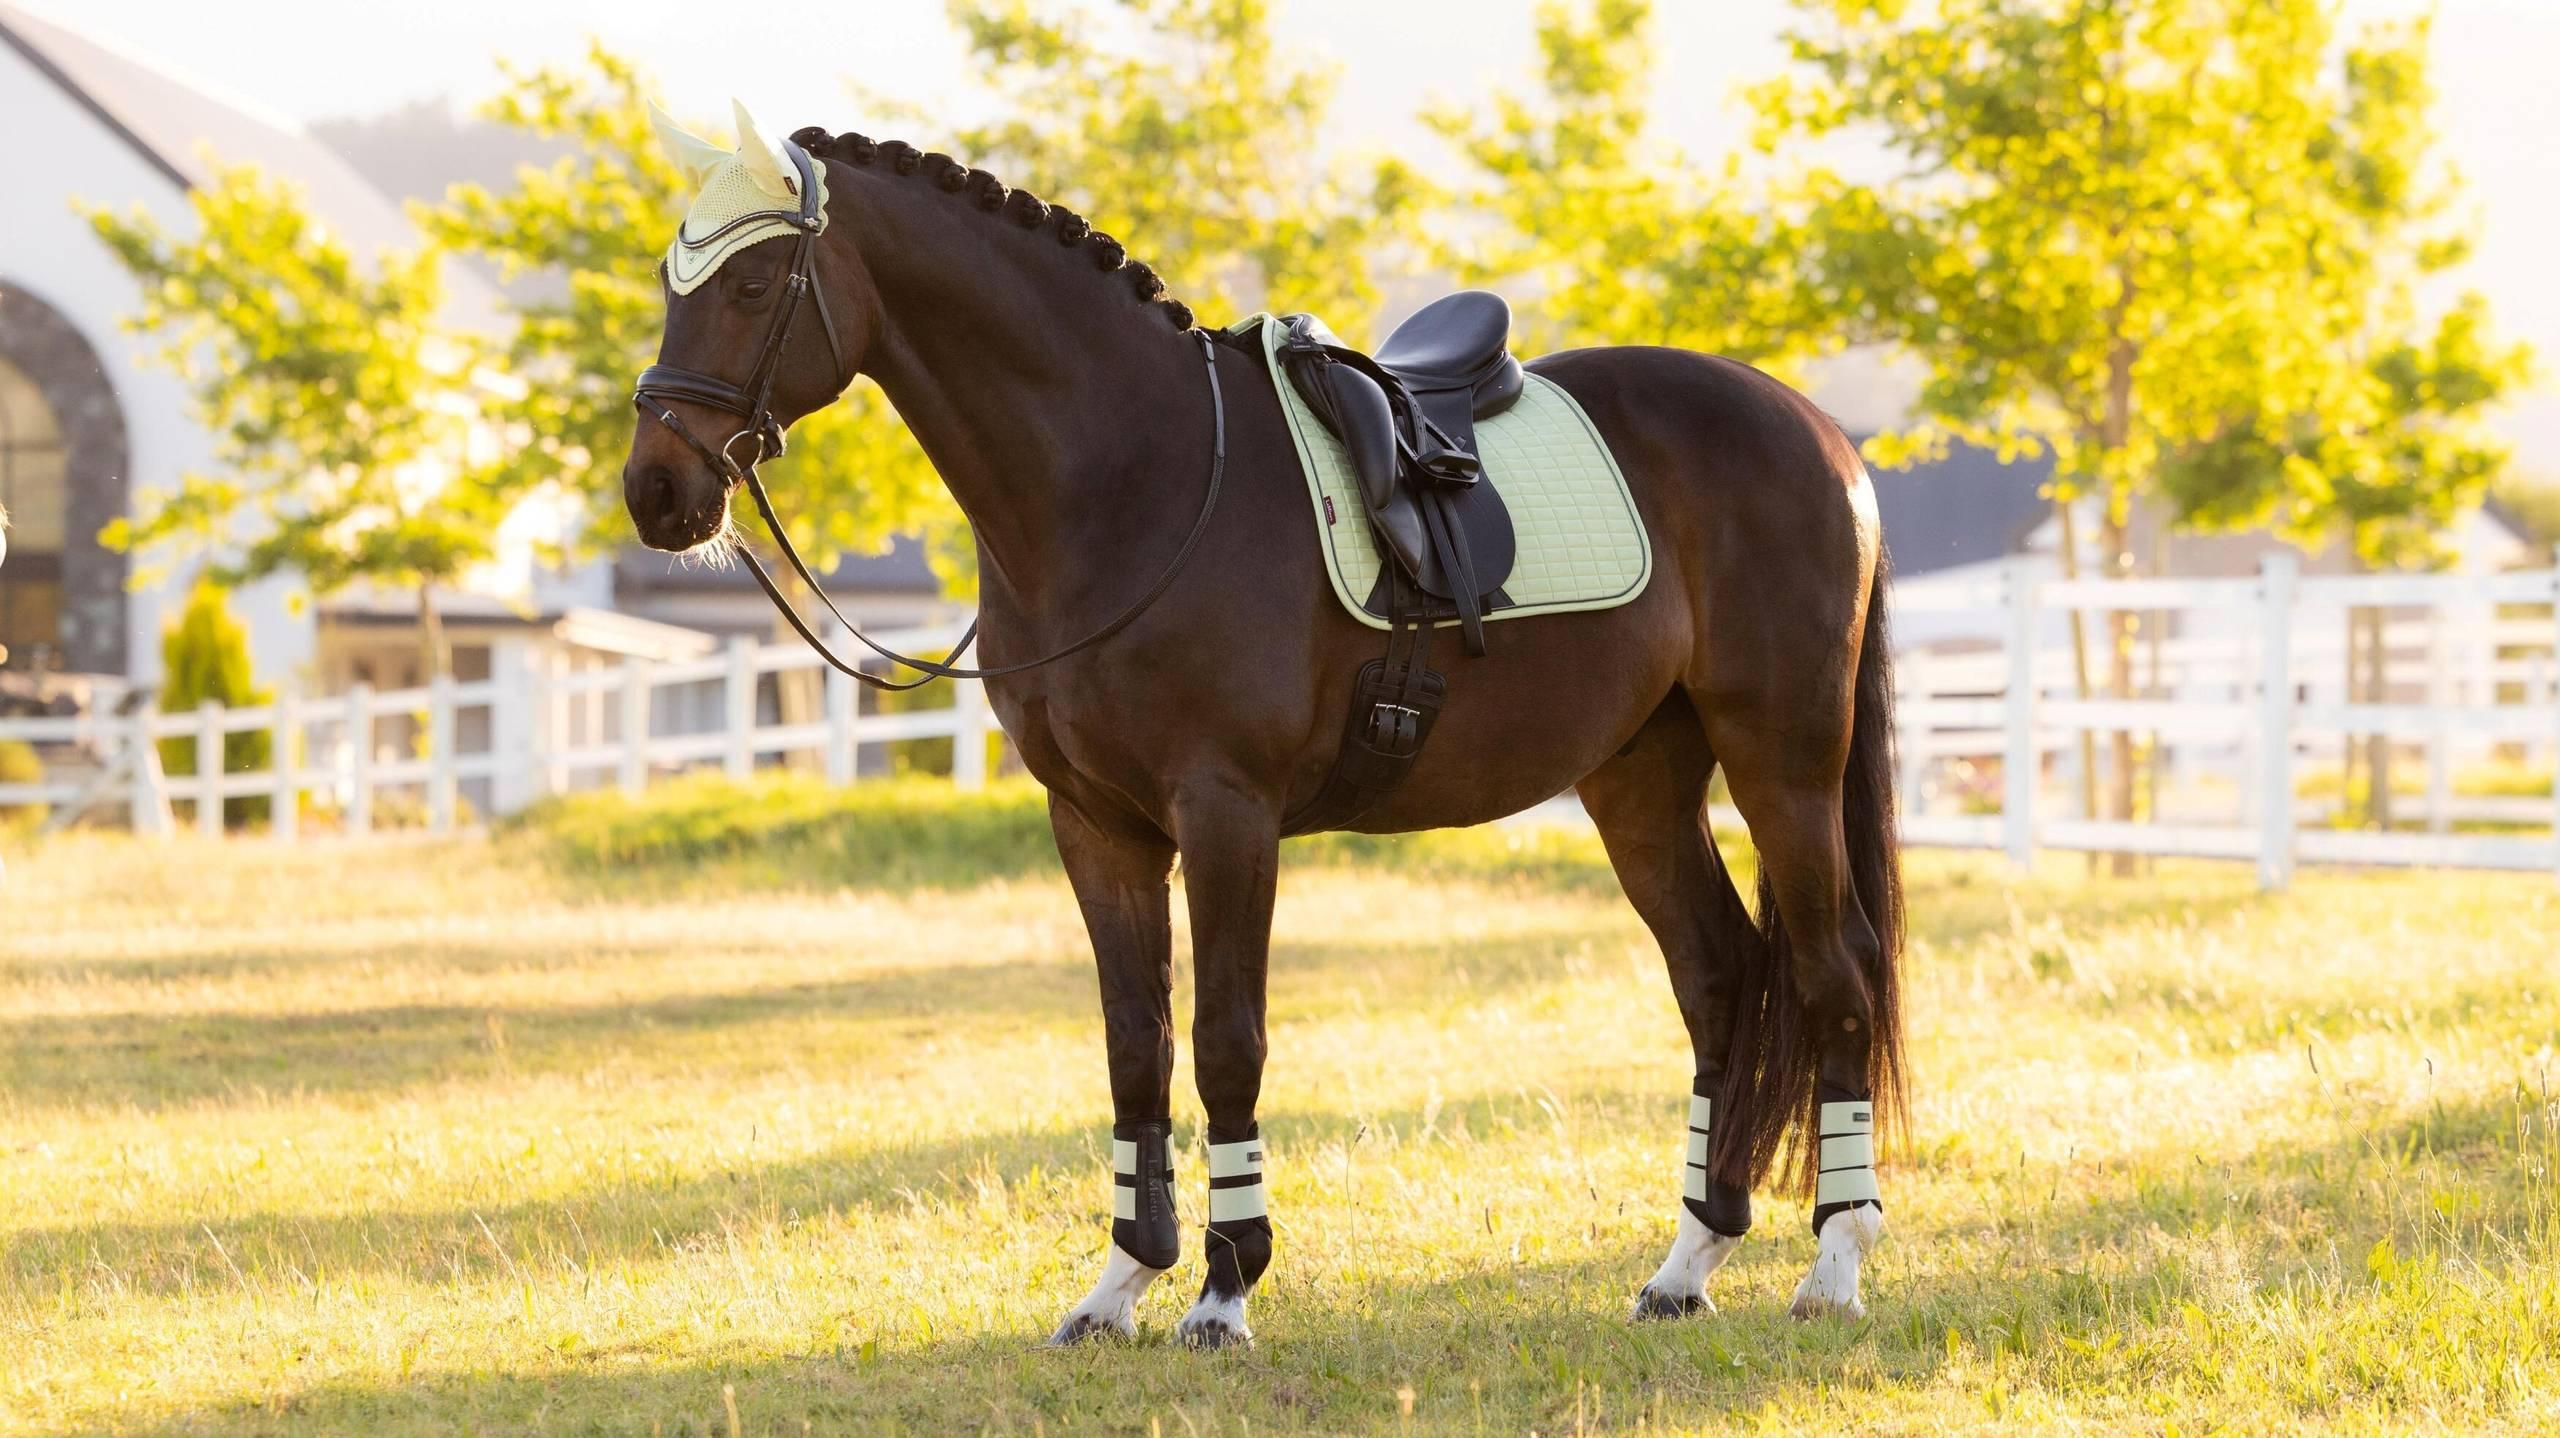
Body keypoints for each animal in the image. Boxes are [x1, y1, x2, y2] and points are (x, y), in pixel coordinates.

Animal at [620, 107, 1906, 1349]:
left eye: (750, 284)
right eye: (674, 284)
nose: (656, 494)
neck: (1131, 477)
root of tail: (1815, 431)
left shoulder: (1226, 814)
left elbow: (1225, 1038)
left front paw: (1223, 1289)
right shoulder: (1096, 826)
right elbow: (1134, 1044)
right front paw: (1119, 1284)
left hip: (1782, 760)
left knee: (1833, 969)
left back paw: (1836, 1264)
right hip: (1638, 780)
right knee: (1720, 974)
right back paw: (1688, 1264)